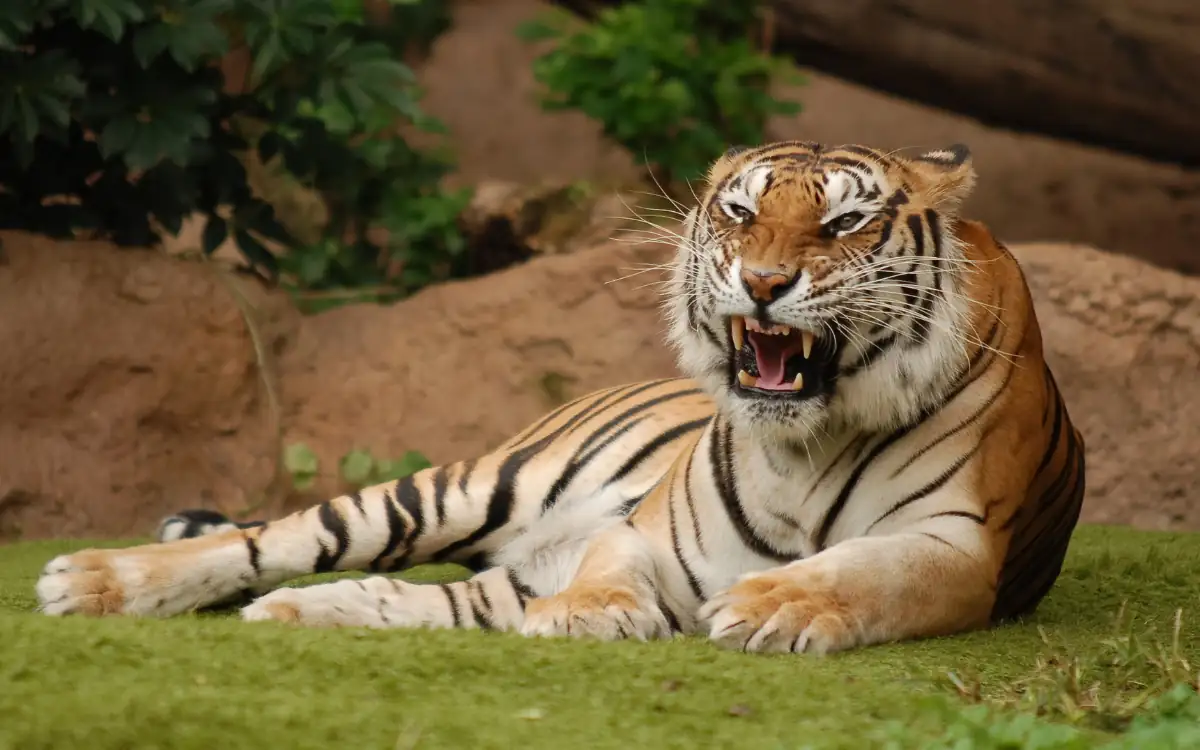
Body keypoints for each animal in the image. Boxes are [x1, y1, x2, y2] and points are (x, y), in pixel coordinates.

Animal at [35, 141, 1085, 655]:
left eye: (844, 222)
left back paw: (292, 616)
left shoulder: (959, 547)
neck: (803, 440)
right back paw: (92, 580)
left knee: (405, 600)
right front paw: (595, 614)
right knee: (268, 542)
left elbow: (865, 572)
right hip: (452, 488)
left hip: (482, 568)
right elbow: (610, 564)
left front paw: (774, 607)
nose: (762, 281)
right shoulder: (643, 530)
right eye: (740, 211)